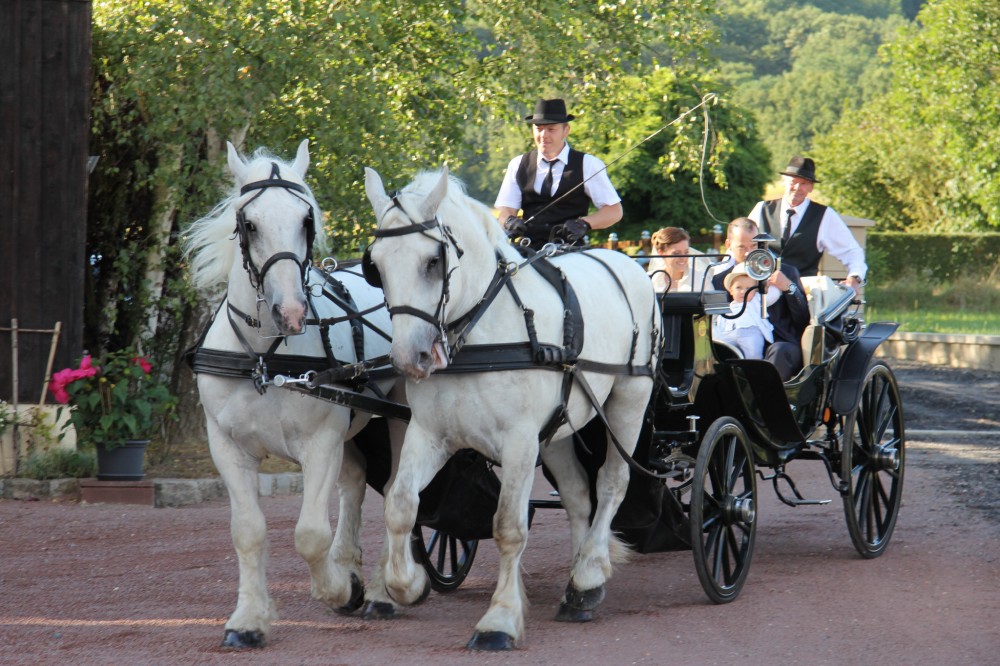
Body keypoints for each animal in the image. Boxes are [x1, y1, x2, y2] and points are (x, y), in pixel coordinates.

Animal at [186, 143, 404, 644]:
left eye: (306, 220)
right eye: (249, 223)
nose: (290, 312)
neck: (265, 359)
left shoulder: (320, 443)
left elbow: (309, 534)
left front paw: (340, 591)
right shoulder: (227, 446)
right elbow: (248, 531)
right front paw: (248, 620)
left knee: (396, 491)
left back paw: (380, 591)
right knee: (355, 483)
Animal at [364, 166, 660, 648]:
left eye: (432, 261)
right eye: (376, 265)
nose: (411, 358)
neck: (481, 334)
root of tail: (627, 264)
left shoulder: (520, 442)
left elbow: (508, 526)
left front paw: (499, 619)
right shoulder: (429, 434)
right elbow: (400, 503)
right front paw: (405, 584)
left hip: (629, 400)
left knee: (612, 483)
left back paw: (589, 575)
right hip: (558, 430)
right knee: (578, 495)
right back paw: (576, 583)